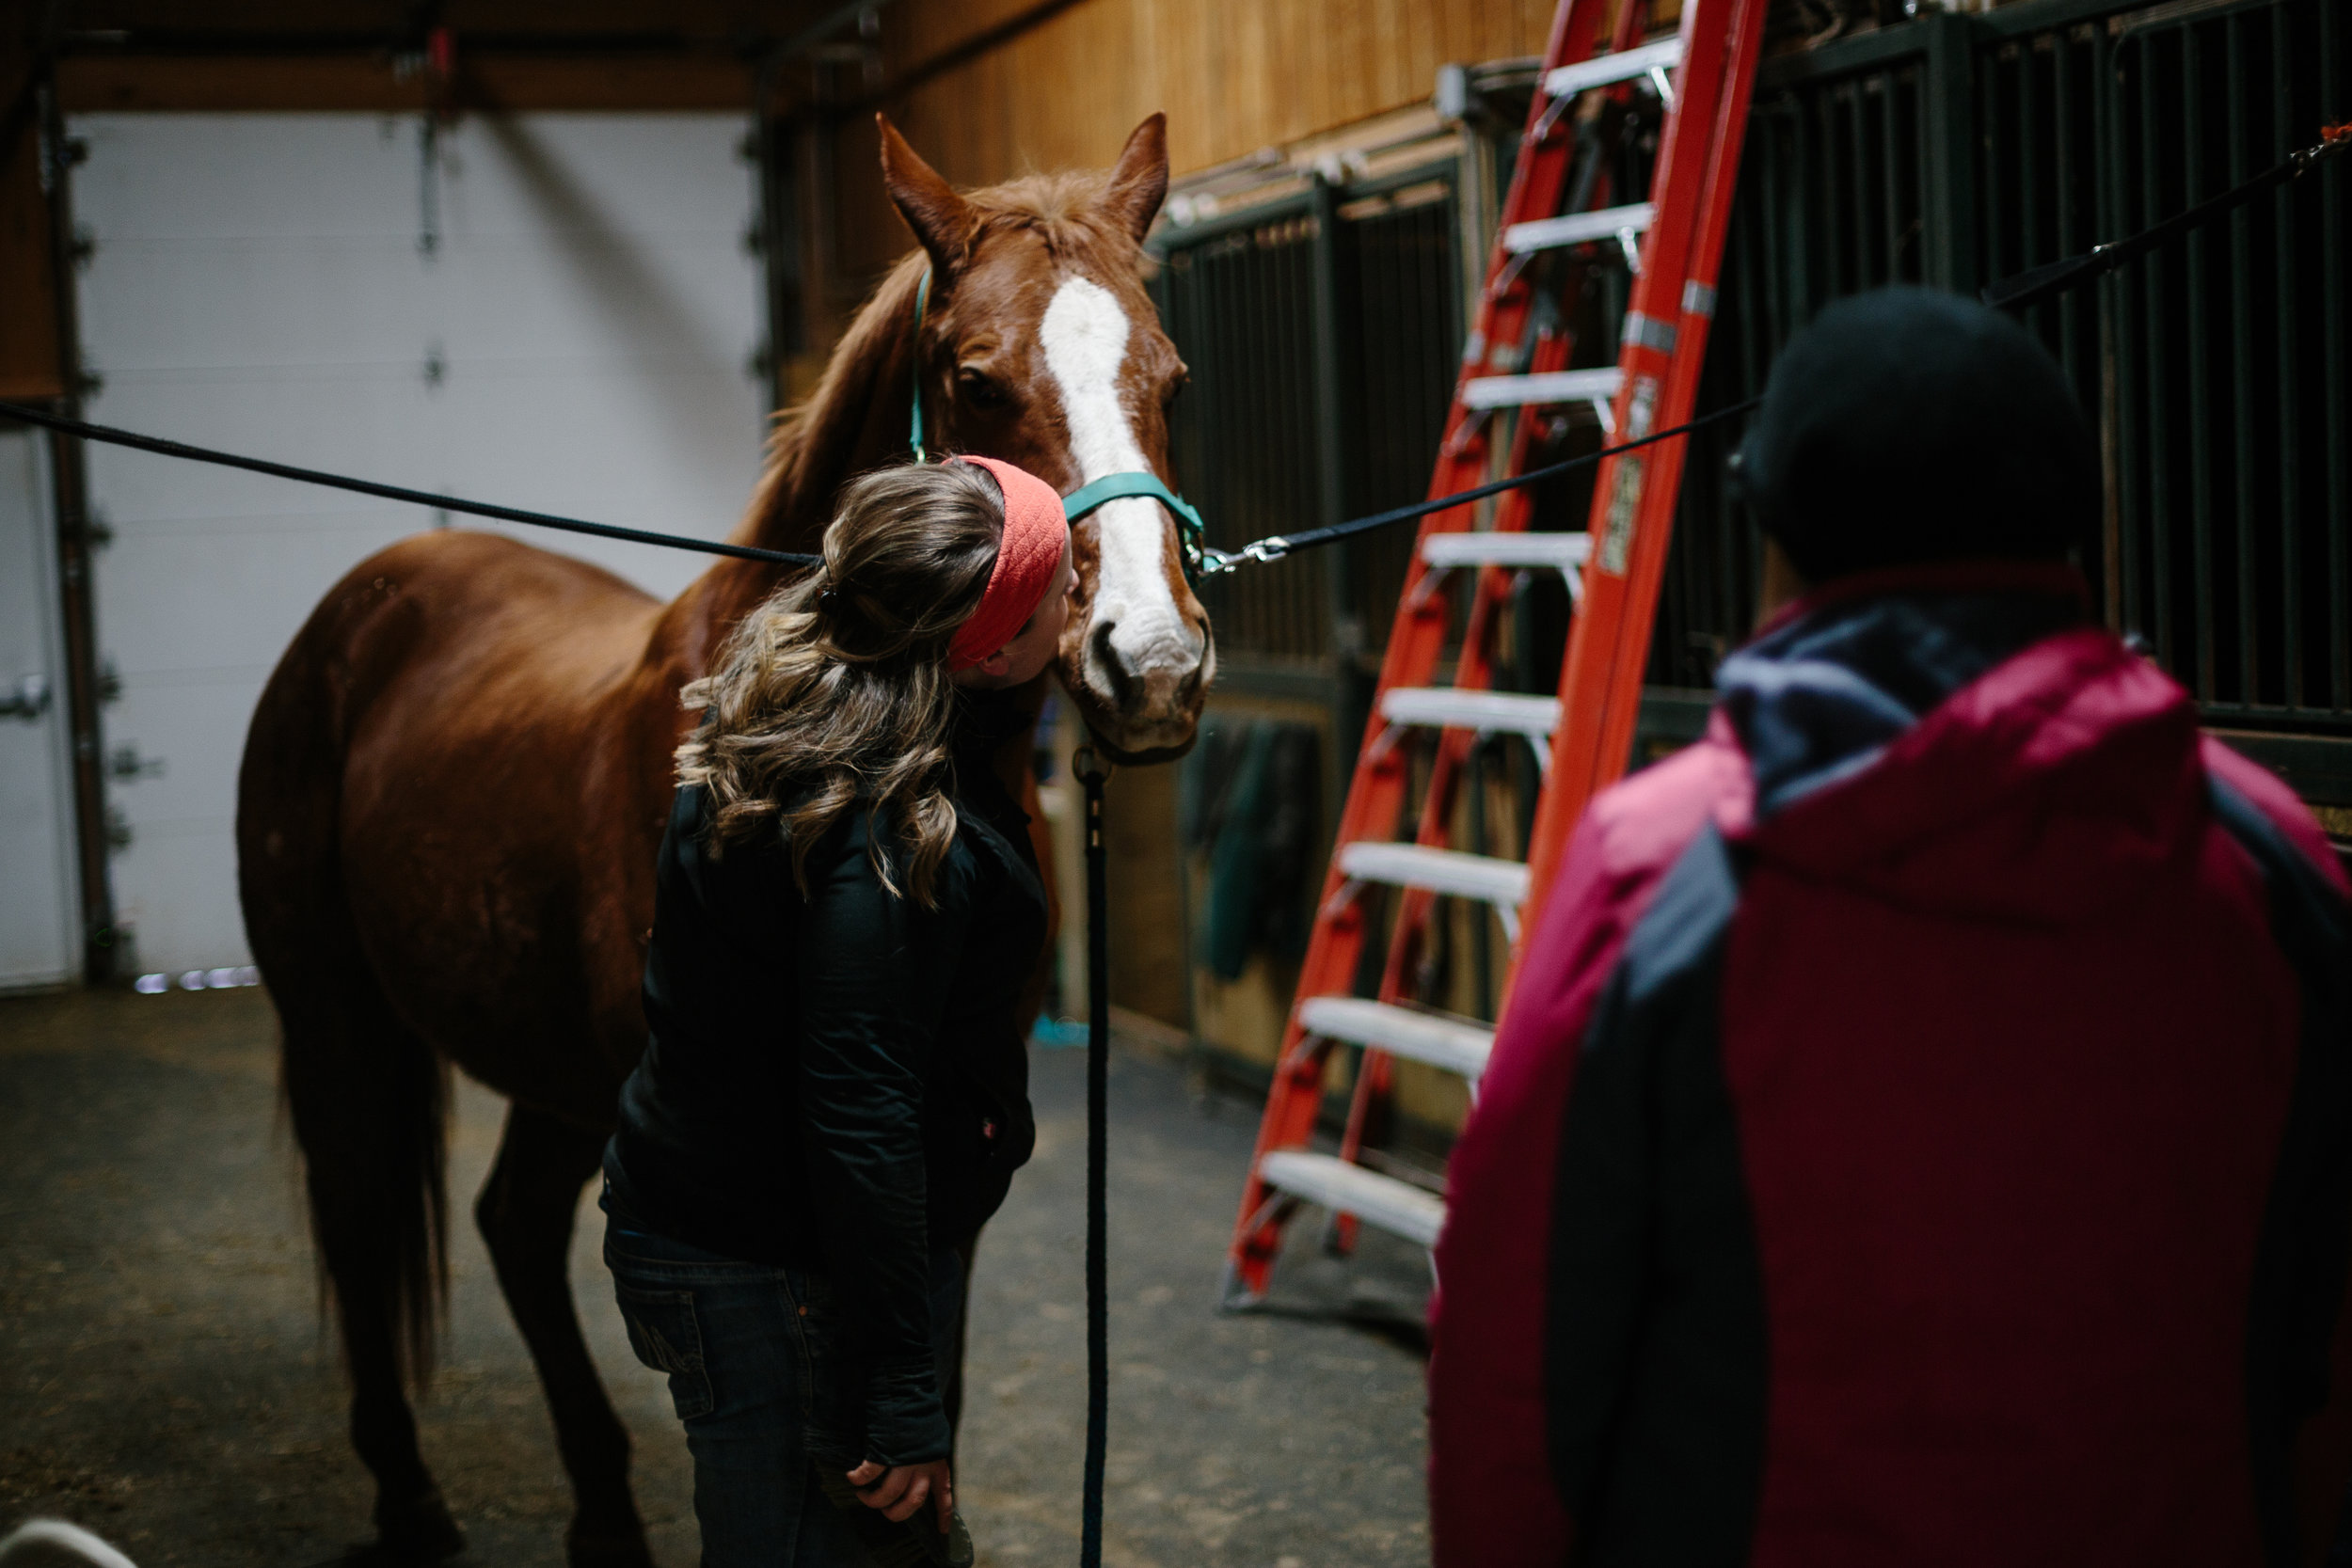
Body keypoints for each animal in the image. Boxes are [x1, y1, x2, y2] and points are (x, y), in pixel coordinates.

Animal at [236, 116, 1204, 1560]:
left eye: (1172, 380)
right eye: (977, 382)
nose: (1149, 664)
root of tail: (366, 603)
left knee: (512, 1226)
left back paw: (600, 1507)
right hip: (338, 1015)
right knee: (363, 1220)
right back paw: (409, 1495)